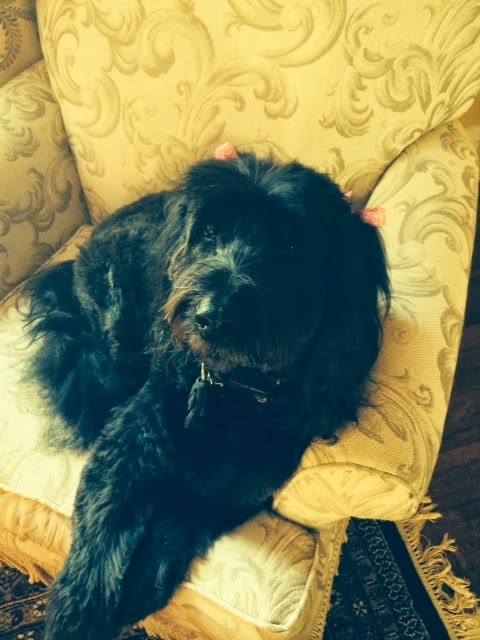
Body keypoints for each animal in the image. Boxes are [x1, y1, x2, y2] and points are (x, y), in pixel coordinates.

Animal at [22, 149, 390, 640]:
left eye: (290, 250)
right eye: (209, 233)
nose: (211, 316)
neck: (227, 391)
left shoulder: (232, 493)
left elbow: (172, 534)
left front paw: (137, 591)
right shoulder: (123, 453)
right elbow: (100, 541)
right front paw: (79, 617)